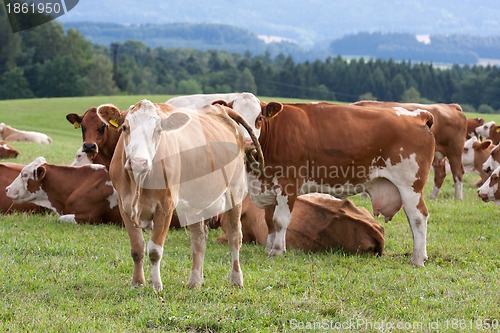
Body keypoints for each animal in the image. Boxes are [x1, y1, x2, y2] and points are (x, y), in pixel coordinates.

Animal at [95, 99, 264, 290]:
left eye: (158, 130)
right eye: (124, 127)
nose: (139, 162)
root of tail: (221, 109)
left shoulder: (165, 206)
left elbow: (154, 250)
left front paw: (156, 284)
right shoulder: (125, 206)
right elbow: (137, 248)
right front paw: (138, 282)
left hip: (235, 191)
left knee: (235, 236)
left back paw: (236, 279)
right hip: (195, 202)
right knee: (199, 239)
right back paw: (195, 281)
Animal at [232, 100, 436, 266]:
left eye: (259, 118)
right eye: (236, 119)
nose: (248, 143)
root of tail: (418, 114)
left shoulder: (288, 184)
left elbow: (280, 220)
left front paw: (277, 251)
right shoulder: (269, 188)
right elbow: (269, 221)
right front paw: (270, 247)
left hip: (410, 186)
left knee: (418, 217)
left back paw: (417, 259)